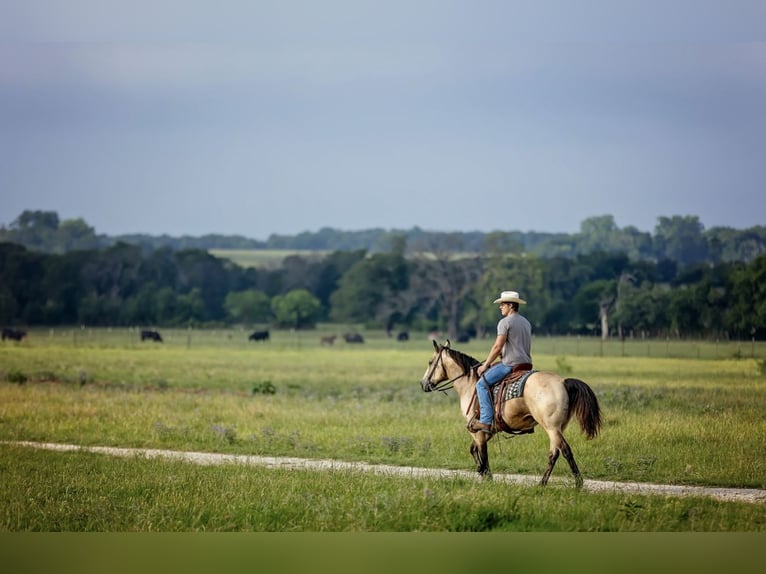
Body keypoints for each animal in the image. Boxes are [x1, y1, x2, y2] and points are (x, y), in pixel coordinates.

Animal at [420, 340, 602, 487]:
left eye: (430, 362)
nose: (423, 384)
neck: (469, 384)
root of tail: (563, 382)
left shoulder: (479, 430)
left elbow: (483, 453)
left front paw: (487, 477)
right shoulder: (489, 430)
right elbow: (473, 449)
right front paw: (480, 471)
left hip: (551, 427)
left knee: (565, 451)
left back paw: (576, 483)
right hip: (558, 428)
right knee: (554, 453)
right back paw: (543, 483)